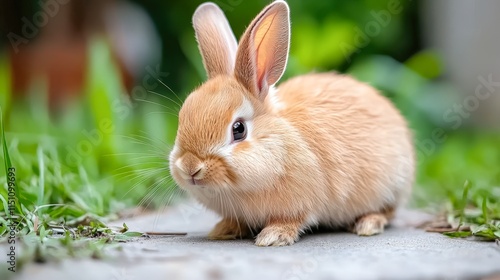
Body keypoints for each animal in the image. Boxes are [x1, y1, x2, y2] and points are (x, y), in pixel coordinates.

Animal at [168, 0, 414, 246]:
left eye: (238, 129)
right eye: (182, 117)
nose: (190, 167)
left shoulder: (304, 200)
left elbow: (292, 219)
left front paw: (273, 236)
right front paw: (223, 230)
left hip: (391, 186)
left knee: (389, 211)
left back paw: (368, 224)